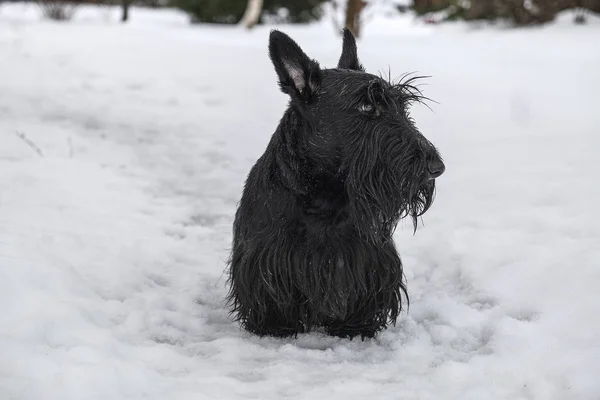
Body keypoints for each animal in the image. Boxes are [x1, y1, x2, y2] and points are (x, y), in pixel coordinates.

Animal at [227, 28, 442, 340]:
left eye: (401, 105)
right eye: (366, 105)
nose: (436, 167)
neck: (325, 194)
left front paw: (356, 325)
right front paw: (276, 325)